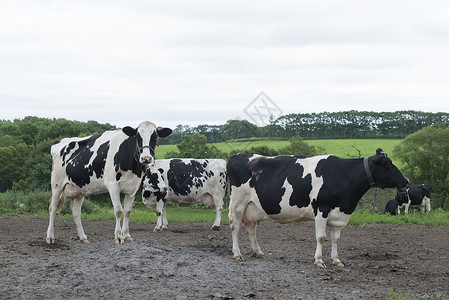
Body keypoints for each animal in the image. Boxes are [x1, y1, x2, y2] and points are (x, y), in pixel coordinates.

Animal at [228, 148, 406, 268]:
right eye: (388, 164)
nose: (406, 180)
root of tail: (238, 155)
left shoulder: (338, 213)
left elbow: (336, 239)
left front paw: (336, 260)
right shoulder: (321, 208)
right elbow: (321, 237)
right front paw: (319, 261)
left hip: (252, 207)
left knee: (251, 228)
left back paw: (258, 252)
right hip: (237, 202)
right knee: (235, 227)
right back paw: (237, 254)